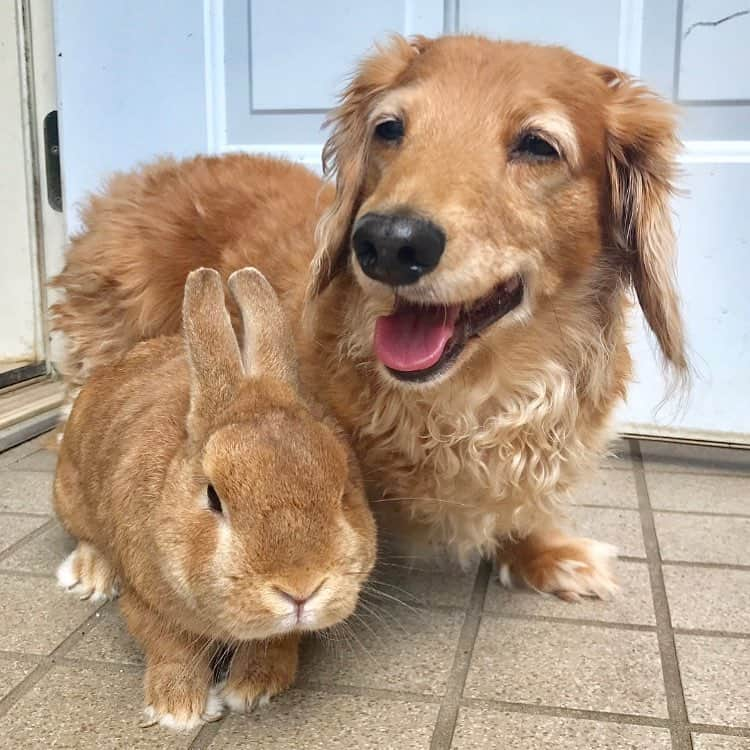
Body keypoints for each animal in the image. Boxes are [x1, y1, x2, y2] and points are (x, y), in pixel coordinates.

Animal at [53, 35, 688, 604]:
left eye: (538, 145)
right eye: (390, 129)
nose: (387, 243)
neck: (470, 403)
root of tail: (146, 177)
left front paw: (545, 549)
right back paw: (96, 554)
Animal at [54, 268, 376, 732]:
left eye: (343, 489)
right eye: (213, 497)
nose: (300, 589)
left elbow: (279, 642)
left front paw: (251, 688)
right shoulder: (147, 602)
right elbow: (172, 649)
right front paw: (178, 709)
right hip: (69, 495)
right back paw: (90, 576)